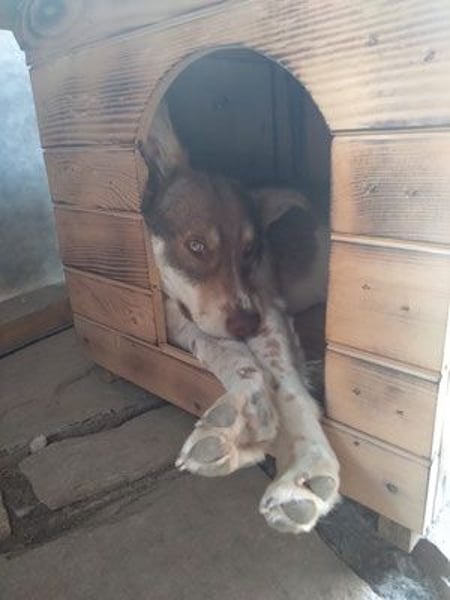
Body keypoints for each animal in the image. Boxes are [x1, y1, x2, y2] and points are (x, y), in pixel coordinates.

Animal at [139, 102, 340, 534]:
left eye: (250, 250)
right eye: (196, 246)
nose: (246, 324)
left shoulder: (267, 309)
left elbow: (290, 388)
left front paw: (309, 469)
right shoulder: (177, 315)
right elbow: (237, 362)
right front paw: (248, 416)